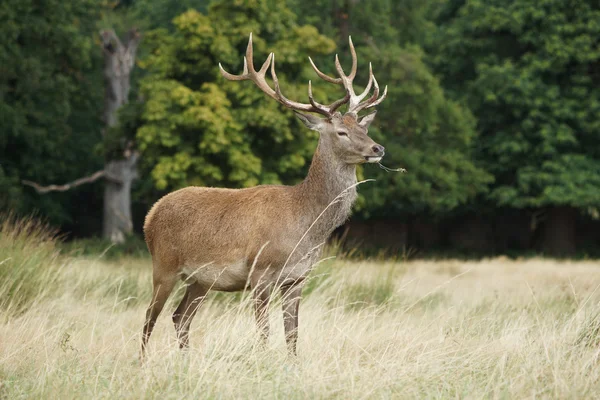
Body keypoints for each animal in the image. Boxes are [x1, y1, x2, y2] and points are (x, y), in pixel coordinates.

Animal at [141, 33, 386, 356]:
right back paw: (143, 363)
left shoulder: (298, 278)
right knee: (149, 318)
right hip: (163, 265)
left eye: (362, 127)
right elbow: (264, 334)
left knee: (180, 316)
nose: (377, 148)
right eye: (341, 132)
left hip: (201, 280)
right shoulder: (260, 272)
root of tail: (150, 215)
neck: (305, 225)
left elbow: (292, 335)